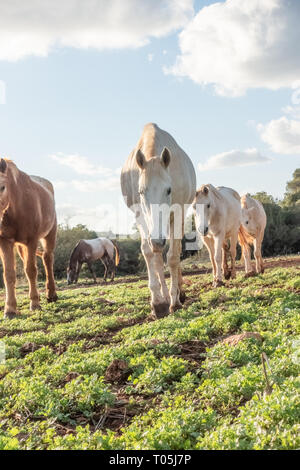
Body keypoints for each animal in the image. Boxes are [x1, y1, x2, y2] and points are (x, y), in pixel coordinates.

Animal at [0, 159, 57, 320]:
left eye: (2, 187)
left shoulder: (32, 240)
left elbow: (31, 270)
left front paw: (35, 304)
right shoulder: (5, 241)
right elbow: (9, 274)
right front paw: (10, 309)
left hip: (50, 234)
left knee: (47, 259)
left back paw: (51, 294)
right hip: (20, 246)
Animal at [120, 123, 196, 318]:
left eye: (168, 190)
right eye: (141, 191)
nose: (157, 239)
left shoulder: (177, 213)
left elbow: (173, 256)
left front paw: (175, 301)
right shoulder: (139, 214)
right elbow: (149, 252)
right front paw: (158, 303)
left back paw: (179, 294)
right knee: (157, 256)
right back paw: (164, 296)